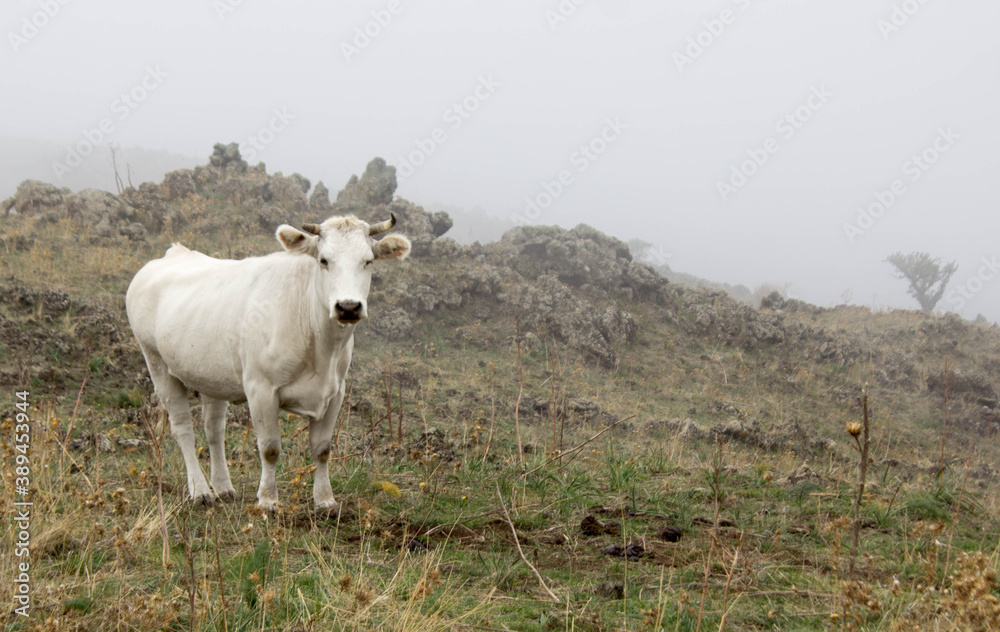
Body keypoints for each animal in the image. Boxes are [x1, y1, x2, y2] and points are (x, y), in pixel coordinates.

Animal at [125, 214, 410, 512]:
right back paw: (200, 491)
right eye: (323, 260)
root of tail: (173, 253)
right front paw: (268, 500)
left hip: (211, 376)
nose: (348, 307)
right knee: (183, 430)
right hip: (156, 362)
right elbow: (270, 448)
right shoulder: (260, 388)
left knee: (214, 429)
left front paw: (325, 500)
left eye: (368, 261)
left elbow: (322, 449)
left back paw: (223, 487)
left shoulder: (336, 392)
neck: (321, 349)